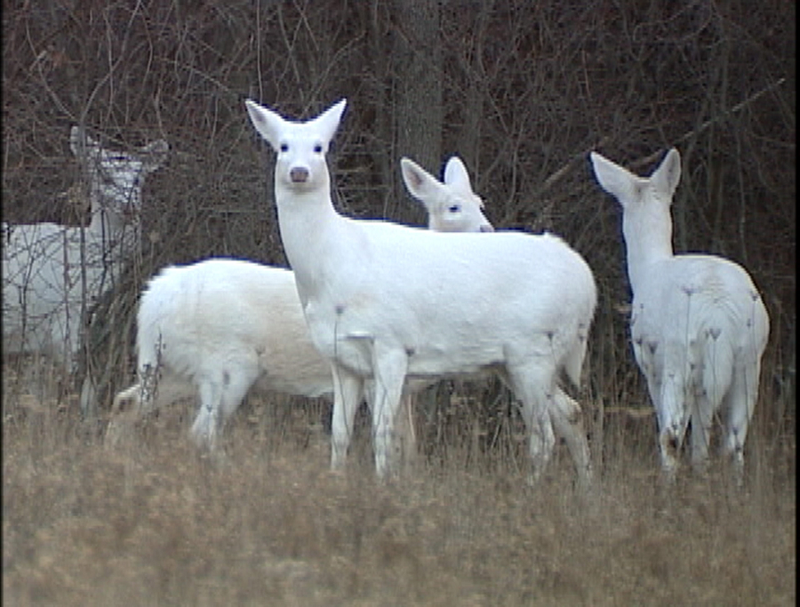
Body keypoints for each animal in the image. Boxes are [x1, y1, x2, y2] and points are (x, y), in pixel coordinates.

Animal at [1, 126, 166, 404]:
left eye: (139, 177)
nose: (129, 206)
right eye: (104, 175)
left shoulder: (36, 341)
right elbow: (86, 387)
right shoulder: (64, 323)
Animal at [106, 156, 494, 452]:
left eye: (481, 202)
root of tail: (154, 298)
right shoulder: (377, 372)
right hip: (226, 364)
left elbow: (409, 445)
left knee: (126, 403)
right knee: (201, 431)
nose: (487, 230)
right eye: (453, 207)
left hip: (173, 366)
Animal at [247, 101, 596, 490]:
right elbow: (339, 434)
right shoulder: (341, 359)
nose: (299, 172)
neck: (335, 265)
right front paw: (337, 481)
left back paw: (530, 490)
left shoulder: (392, 344)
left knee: (543, 436)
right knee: (571, 413)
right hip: (514, 362)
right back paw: (586, 491)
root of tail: (586, 282)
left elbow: (383, 434)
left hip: (534, 350)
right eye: (283, 146)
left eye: (320, 147)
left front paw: (383, 487)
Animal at [592, 148, 772, 484]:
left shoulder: (650, 365)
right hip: (749, 359)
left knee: (671, 434)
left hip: (679, 355)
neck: (648, 267)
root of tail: (718, 315)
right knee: (734, 440)